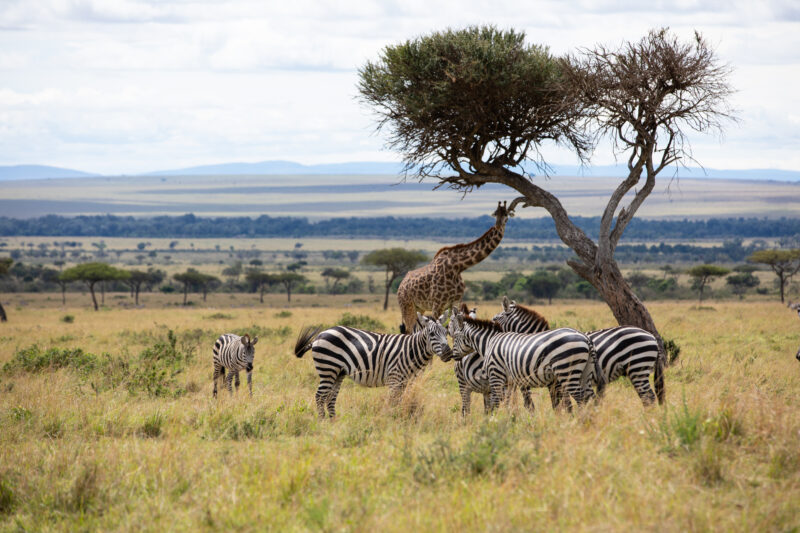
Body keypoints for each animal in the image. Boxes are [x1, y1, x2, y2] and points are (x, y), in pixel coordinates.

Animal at [294, 312, 453, 418]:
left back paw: (333, 422)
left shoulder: (405, 381)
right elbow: (393, 402)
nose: (448, 353)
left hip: (338, 372)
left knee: (330, 397)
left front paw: (399, 417)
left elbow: (401, 401)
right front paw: (391, 419)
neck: (411, 350)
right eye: (432, 334)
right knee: (320, 396)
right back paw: (322, 421)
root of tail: (320, 335)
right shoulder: (394, 378)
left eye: (446, 332)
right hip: (328, 368)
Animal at [448, 309, 596, 412]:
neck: (490, 342)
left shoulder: (496, 375)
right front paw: (510, 420)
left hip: (566, 371)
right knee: (589, 397)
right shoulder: (509, 382)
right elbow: (509, 403)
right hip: (584, 373)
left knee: (580, 397)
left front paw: (493, 422)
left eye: (455, 336)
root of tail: (584, 337)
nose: (452, 356)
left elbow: (496, 403)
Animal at [492, 298, 665, 406]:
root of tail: (651, 337)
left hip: (637, 366)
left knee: (648, 397)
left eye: (494, 319)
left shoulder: (556, 382)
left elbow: (559, 404)